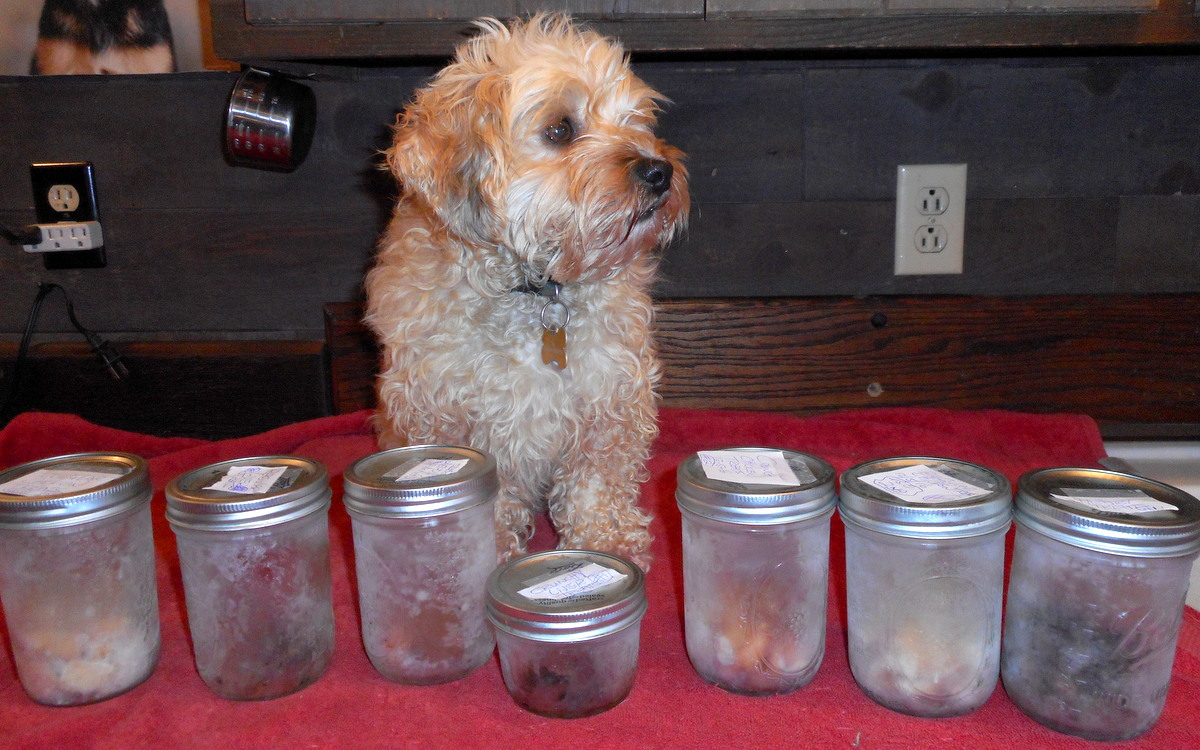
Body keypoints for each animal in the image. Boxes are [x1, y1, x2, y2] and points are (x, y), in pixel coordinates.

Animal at [362, 14, 686, 571]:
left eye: (634, 120)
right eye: (560, 130)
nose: (659, 171)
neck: (535, 290)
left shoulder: (609, 401)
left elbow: (597, 485)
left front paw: (605, 544)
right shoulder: (450, 418)